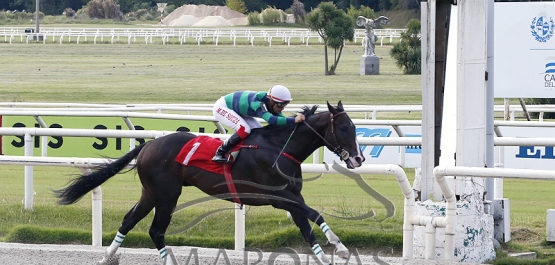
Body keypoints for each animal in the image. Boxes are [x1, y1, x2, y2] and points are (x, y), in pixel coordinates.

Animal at [52, 101, 364, 264]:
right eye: (344, 128)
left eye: (355, 127)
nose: (359, 158)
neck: (279, 148)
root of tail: (149, 145)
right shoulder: (278, 197)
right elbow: (315, 214)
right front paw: (340, 247)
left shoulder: (291, 197)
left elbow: (306, 226)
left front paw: (325, 254)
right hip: (167, 194)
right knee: (155, 230)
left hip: (150, 192)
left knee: (129, 220)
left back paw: (108, 255)